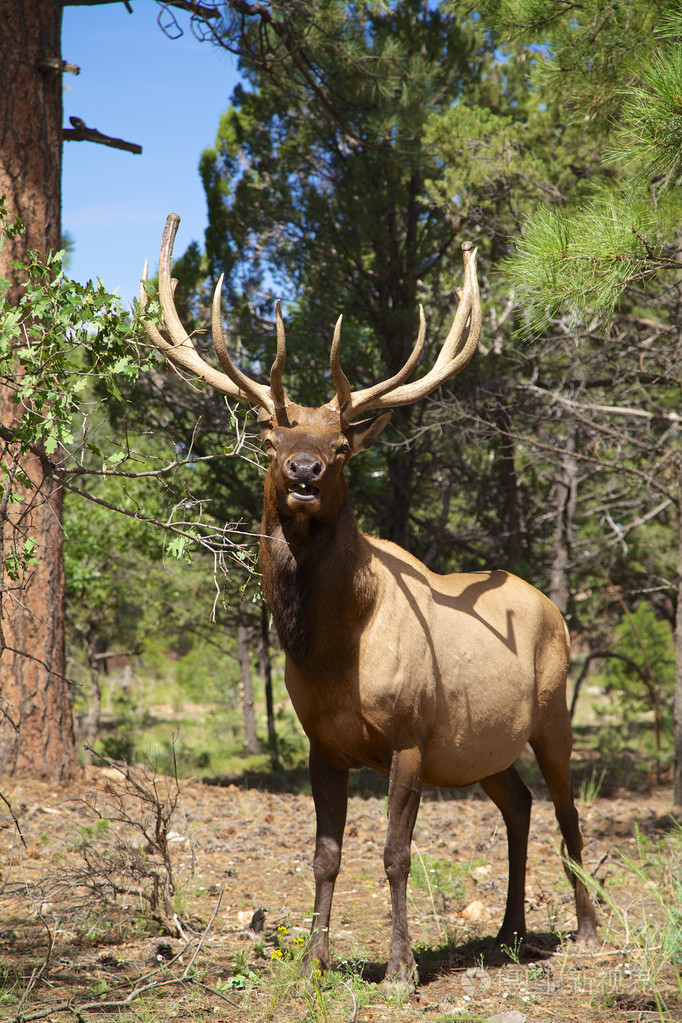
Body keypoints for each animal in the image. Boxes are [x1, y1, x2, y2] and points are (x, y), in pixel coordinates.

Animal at [141, 213, 599, 986]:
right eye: (272, 436)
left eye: (342, 446)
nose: (304, 470)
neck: (332, 651)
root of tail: (551, 606)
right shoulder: (321, 743)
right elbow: (325, 854)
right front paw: (312, 962)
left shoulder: (409, 736)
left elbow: (394, 854)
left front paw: (402, 968)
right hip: (483, 746)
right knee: (519, 804)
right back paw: (508, 929)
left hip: (553, 708)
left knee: (567, 809)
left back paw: (589, 927)